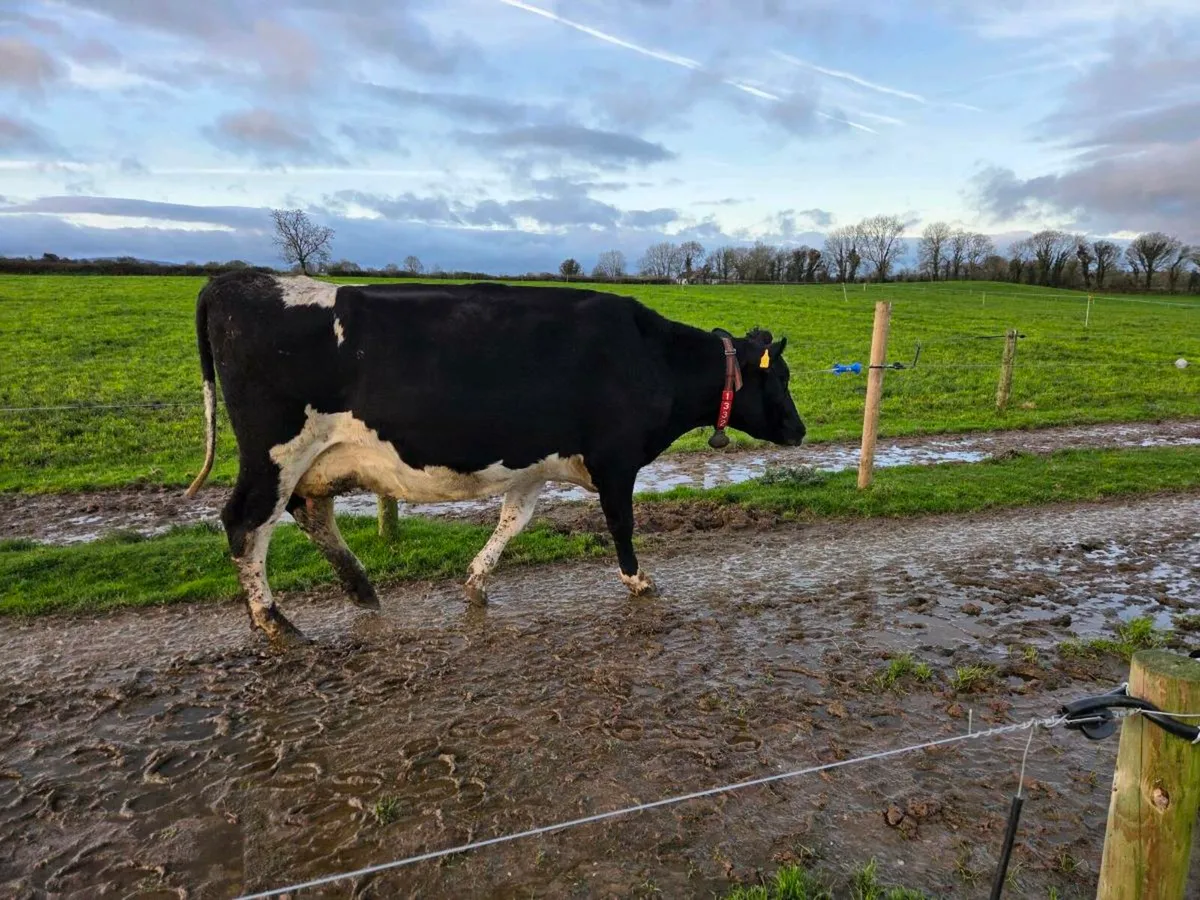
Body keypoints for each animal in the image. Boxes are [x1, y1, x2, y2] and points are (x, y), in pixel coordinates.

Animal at [184, 270, 805, 647]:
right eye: (782, 378)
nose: (800, 430)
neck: (651, 356)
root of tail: (235, 279)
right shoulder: (616, 458)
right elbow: (621, 523)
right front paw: (638, 581)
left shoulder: (534, 462)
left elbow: (514, 520)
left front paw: (477, 582)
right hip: (276, 452)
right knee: (245, 522)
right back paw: (275, 622)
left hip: (312, 461)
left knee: (307, 513)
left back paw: (362, 590)